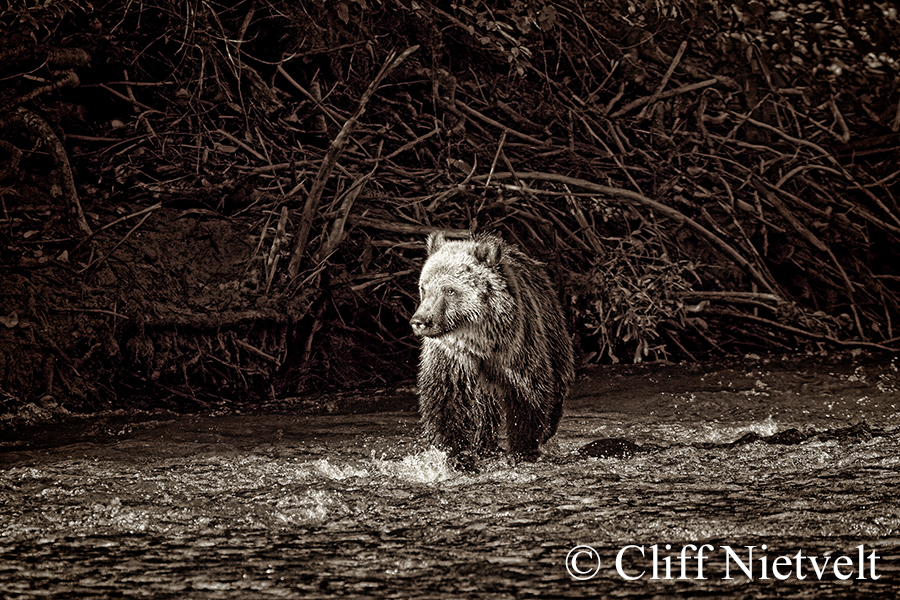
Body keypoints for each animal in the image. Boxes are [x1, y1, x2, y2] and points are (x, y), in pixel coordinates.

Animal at [409, 231, 574, 466]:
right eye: (424, 287)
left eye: (449, 290)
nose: (420, 321)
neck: (480, 344)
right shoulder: (450, 358)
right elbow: (444, 400)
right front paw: (456, 453)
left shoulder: (516, 351)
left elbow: (528, 395)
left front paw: (523, 448)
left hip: (552, 327)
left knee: (558, 379)